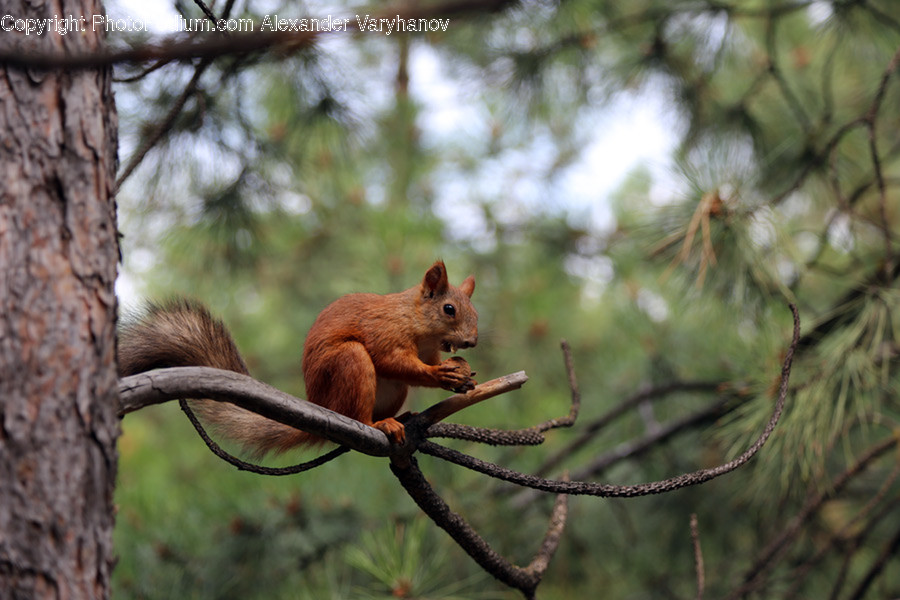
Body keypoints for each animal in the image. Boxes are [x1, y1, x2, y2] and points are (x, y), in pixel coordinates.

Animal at [117, 260, 478, 455]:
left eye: (474, 311)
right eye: (449, 309)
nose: (472, 341)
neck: (417, 323)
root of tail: (322, 406)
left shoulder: (429, 350)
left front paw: (461, 371)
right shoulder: (385, 333)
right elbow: (394, 362)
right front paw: (442, 375)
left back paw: (401, 417)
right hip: (349, 362)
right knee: (358, 414)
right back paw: (379, 424)